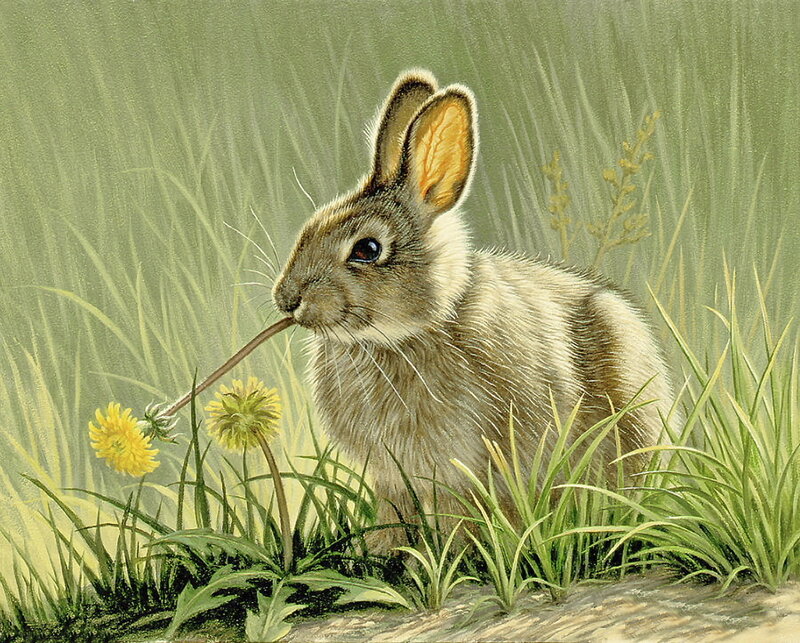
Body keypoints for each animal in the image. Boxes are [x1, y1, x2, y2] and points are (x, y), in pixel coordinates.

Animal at [272, 70, 674, 550]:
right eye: (310, 227)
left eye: (367, 249)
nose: (287, 299)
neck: (410, 331)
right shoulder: (392, 478)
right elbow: (392, 520)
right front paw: (379, 556)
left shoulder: (465, 463)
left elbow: (457, 521)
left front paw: (452, 559)